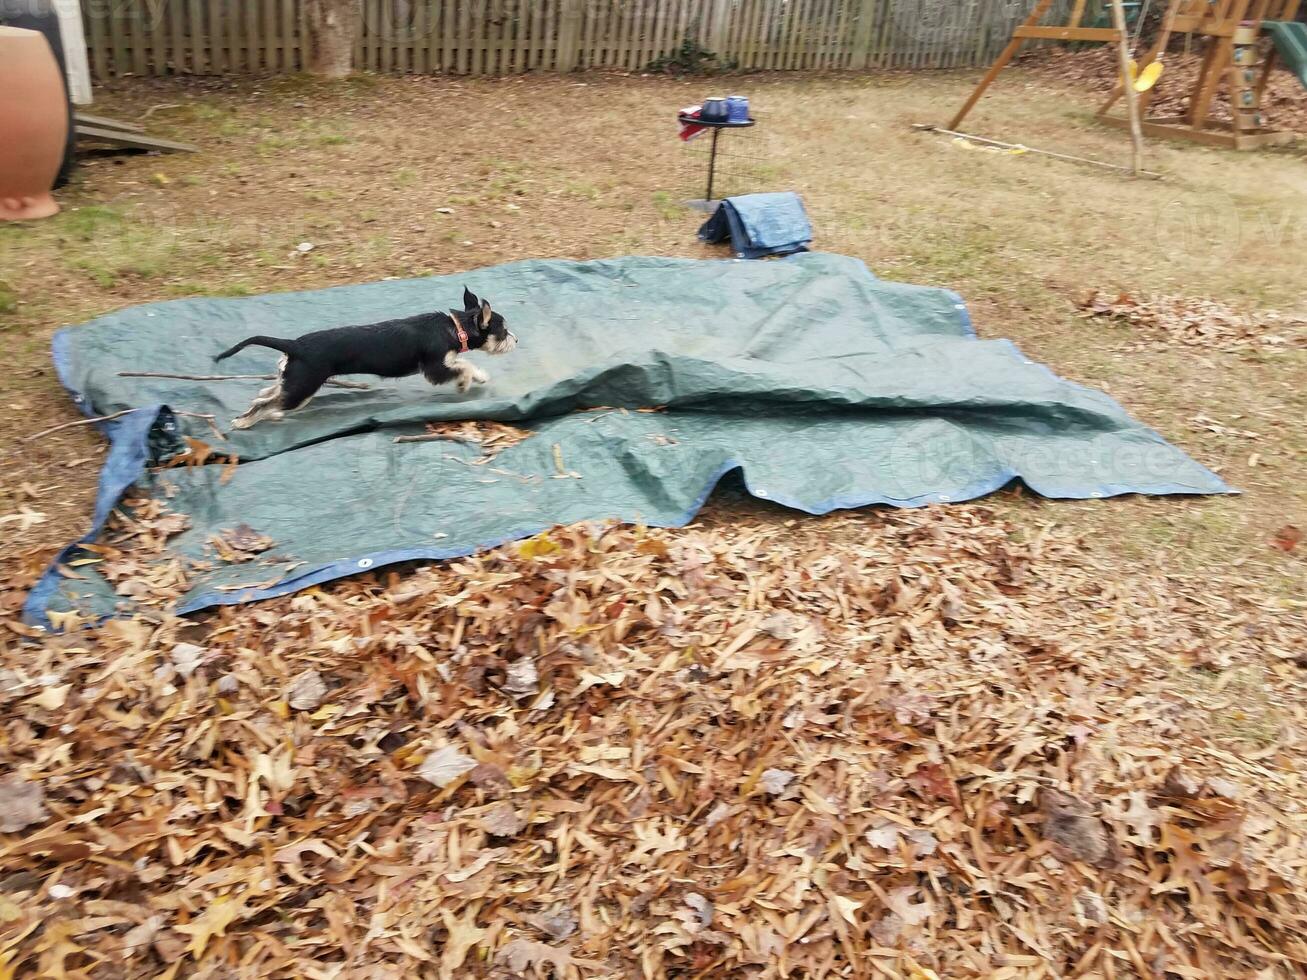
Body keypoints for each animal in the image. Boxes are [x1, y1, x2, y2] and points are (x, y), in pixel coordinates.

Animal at [211, 290, 512, 431]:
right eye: (504, 331)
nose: (516, 340)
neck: (455, 327)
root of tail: (294, 345)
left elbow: (465, 365)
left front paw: (476, 379)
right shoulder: (435, 367)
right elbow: (464, 366)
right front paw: (469, 382)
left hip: (294, 381)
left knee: (266, 392)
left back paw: (262, 413)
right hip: (302, 388)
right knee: (266, 402)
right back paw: (244, 423)